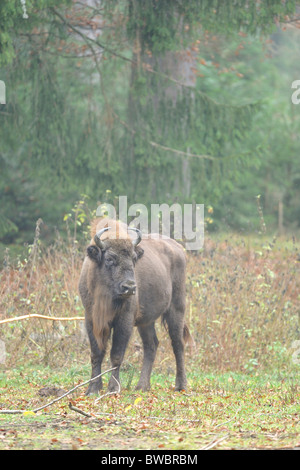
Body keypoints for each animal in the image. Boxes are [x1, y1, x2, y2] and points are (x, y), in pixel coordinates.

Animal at [79, 218, 192, 394]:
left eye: (133, 258)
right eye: (109, 259)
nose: (130, 287)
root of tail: (178, 248)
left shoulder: (124, 320)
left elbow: (116, 355)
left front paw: (113, 388)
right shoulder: (91, 318)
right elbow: (96, 353)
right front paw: (93, 389)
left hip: (176, 309)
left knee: (177, 343)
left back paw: (180, 385)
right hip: (146, 321)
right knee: (151, 345)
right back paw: (142, 386)